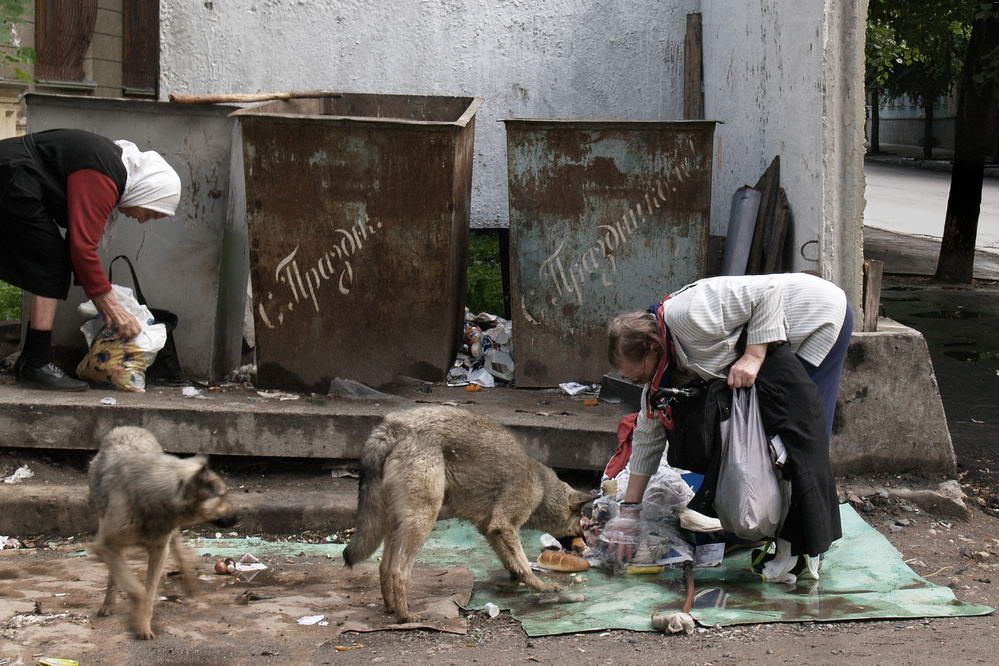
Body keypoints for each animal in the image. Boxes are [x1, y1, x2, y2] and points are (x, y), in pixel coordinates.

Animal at [87, 426, 239, 640]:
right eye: (223, 495)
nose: (239, 517)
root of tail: (127, 428)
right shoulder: (104, 544)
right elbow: (137, 590)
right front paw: (137, 617)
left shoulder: (160, 551)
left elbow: (149, 591)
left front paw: (143, 624)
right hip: (106, 528)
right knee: (113, 572)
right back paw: (108, 604)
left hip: (169, 537)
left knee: (179, 551)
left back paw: (190, 585)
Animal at [344, 404, 592, 624]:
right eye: (580, 519)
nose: (586, 543)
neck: (542, 488)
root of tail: (393, 426)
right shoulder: (504, 525)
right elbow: (523, 563)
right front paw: (542, 586)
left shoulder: (491, 531)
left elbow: (512, 562)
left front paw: (514, 582)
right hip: (422, 522)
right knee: (399, 571)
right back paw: (405, 616)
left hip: (396, 524)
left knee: (384, 568)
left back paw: (390, 608)